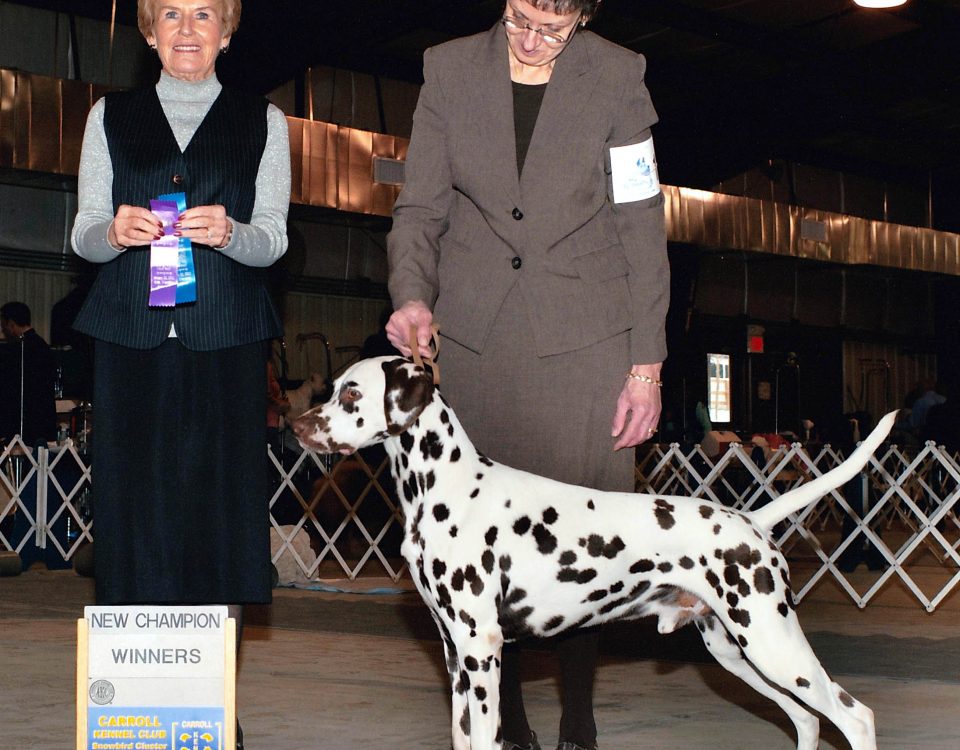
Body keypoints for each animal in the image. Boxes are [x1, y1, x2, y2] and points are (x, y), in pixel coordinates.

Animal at [291, 356, 892, 750]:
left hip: (773, 643)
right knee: (808, 720)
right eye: (333, 388)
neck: (449, 488)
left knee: (855, 716)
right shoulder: (454, 654)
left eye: (352, 394)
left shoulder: (481, 650)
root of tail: (752, 520)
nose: (297, 426)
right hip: (734, 651)